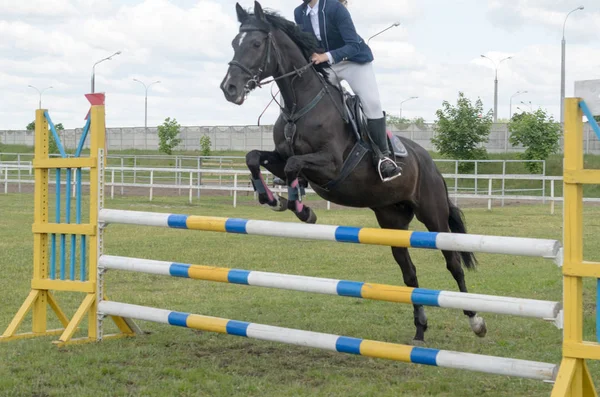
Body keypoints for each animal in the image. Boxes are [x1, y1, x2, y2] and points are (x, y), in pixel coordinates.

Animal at [219, 1, 482, 340]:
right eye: (233, 43)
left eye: (254, 44)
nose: (229, 88)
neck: (299, 106)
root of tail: (430, 163)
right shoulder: (278, 156)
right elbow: (255, 157)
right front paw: (272, 199)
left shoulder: (330, 165)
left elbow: (293, 166)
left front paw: (303, 209)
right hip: (391, 220)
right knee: (409, 273)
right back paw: (419, 330)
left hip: (433, 215)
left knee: (453, 262)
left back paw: (476, 320)